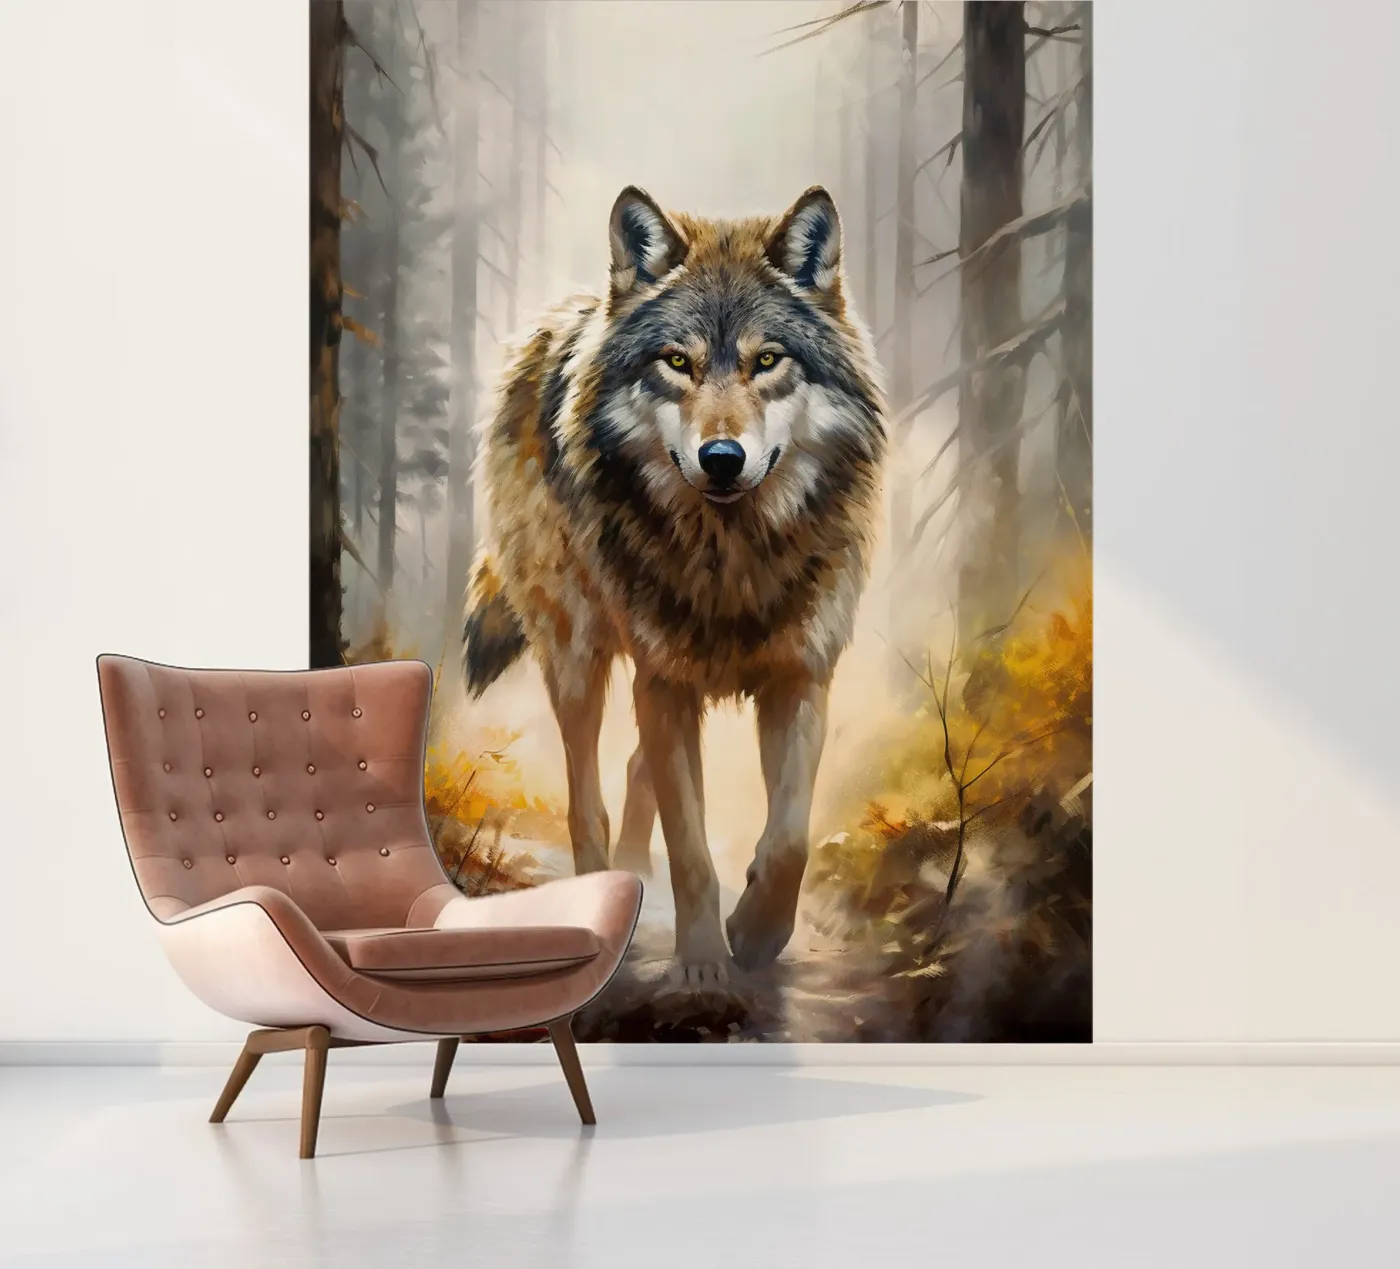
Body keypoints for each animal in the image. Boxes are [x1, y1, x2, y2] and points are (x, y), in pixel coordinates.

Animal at [462, 185, 886, 985]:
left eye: (767, 360)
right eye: (678, 362)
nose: (722, 457)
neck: (732, 558)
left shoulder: (800, 676)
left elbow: (789, 839)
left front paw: (755, 933)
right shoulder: (664, 682)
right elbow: (689, 846)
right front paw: (703, 964)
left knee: (636, 771)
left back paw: (634, 870)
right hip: (578, 656)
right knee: (587, 798)